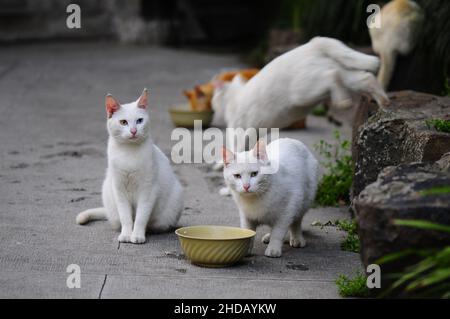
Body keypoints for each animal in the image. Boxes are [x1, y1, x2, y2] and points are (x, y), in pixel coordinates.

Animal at [76, 89, 184, 244]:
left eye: (139, 120)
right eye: (123, 122)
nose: (133, 130)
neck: (128, 153)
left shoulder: (147, 191)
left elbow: (140, 217)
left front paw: (137, 235)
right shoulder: (119, 190)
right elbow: (126, 217)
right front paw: (126, 235)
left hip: (172, 205)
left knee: (154, 224)